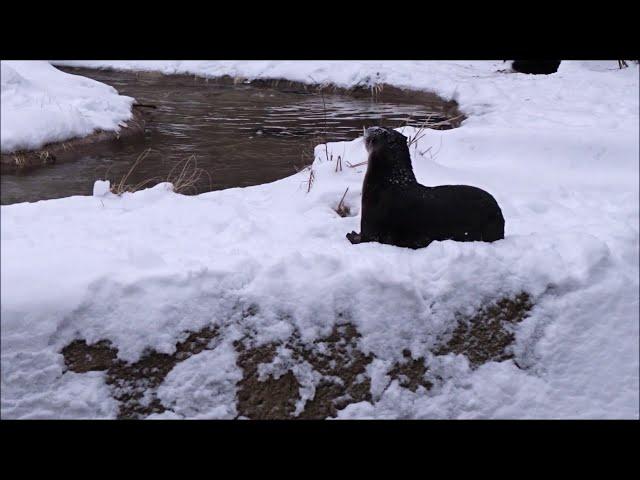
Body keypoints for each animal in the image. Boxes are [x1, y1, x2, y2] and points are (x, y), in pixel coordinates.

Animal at [348, 125, 502, 249]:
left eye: (380, 131)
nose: (369, 128)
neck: (389, 184)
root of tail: (500, 216)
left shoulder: (371, 217)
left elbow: (367, 238)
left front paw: (352, 235)